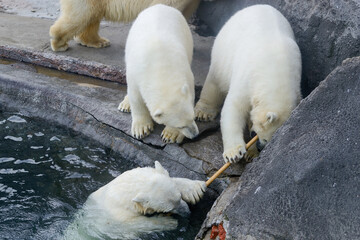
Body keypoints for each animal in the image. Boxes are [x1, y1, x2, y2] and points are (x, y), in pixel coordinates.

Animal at [63, 161, 207, 240]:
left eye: (179, 198)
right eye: (169, 209)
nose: (187, 212)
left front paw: (195, 189)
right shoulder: (112, 219)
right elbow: (131, 225)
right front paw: (168, 222)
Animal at [120, 4, 200, 143]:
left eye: (193, 116)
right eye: (180, 126)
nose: (195, 135)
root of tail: (160, 5)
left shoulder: (186, 73)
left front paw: (170, 134)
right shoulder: (136, 74)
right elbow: (136, 97)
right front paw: (141, 129)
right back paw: (125, 104)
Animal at [194, 4, 300, 163]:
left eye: (270, 141)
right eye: (266, 139)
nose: (260, 146)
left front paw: (251, 153)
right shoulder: (248, 76)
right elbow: (234, 107)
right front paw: (234, 153)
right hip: (224, 48)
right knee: (215, 82)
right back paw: (204, 112)